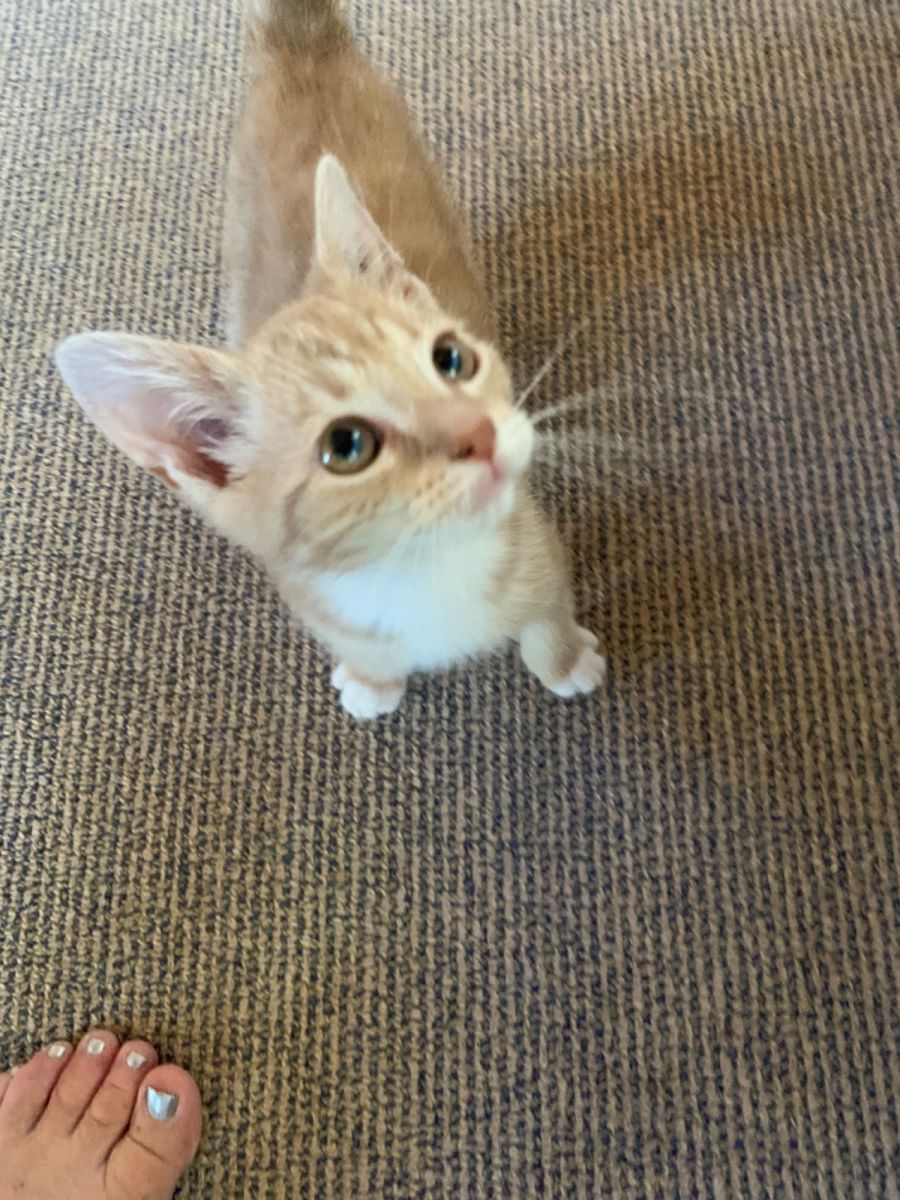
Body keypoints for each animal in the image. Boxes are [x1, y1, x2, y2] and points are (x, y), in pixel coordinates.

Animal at [54, 0, 606, 719]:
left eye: (450, 359)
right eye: (347, 446)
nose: (481, 434)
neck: (420, 571)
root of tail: (300, 49)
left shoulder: (534, 538)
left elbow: (545, 617)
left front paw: (565, 658)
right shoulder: (313, 600)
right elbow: (367, 649)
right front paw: (373, 679)